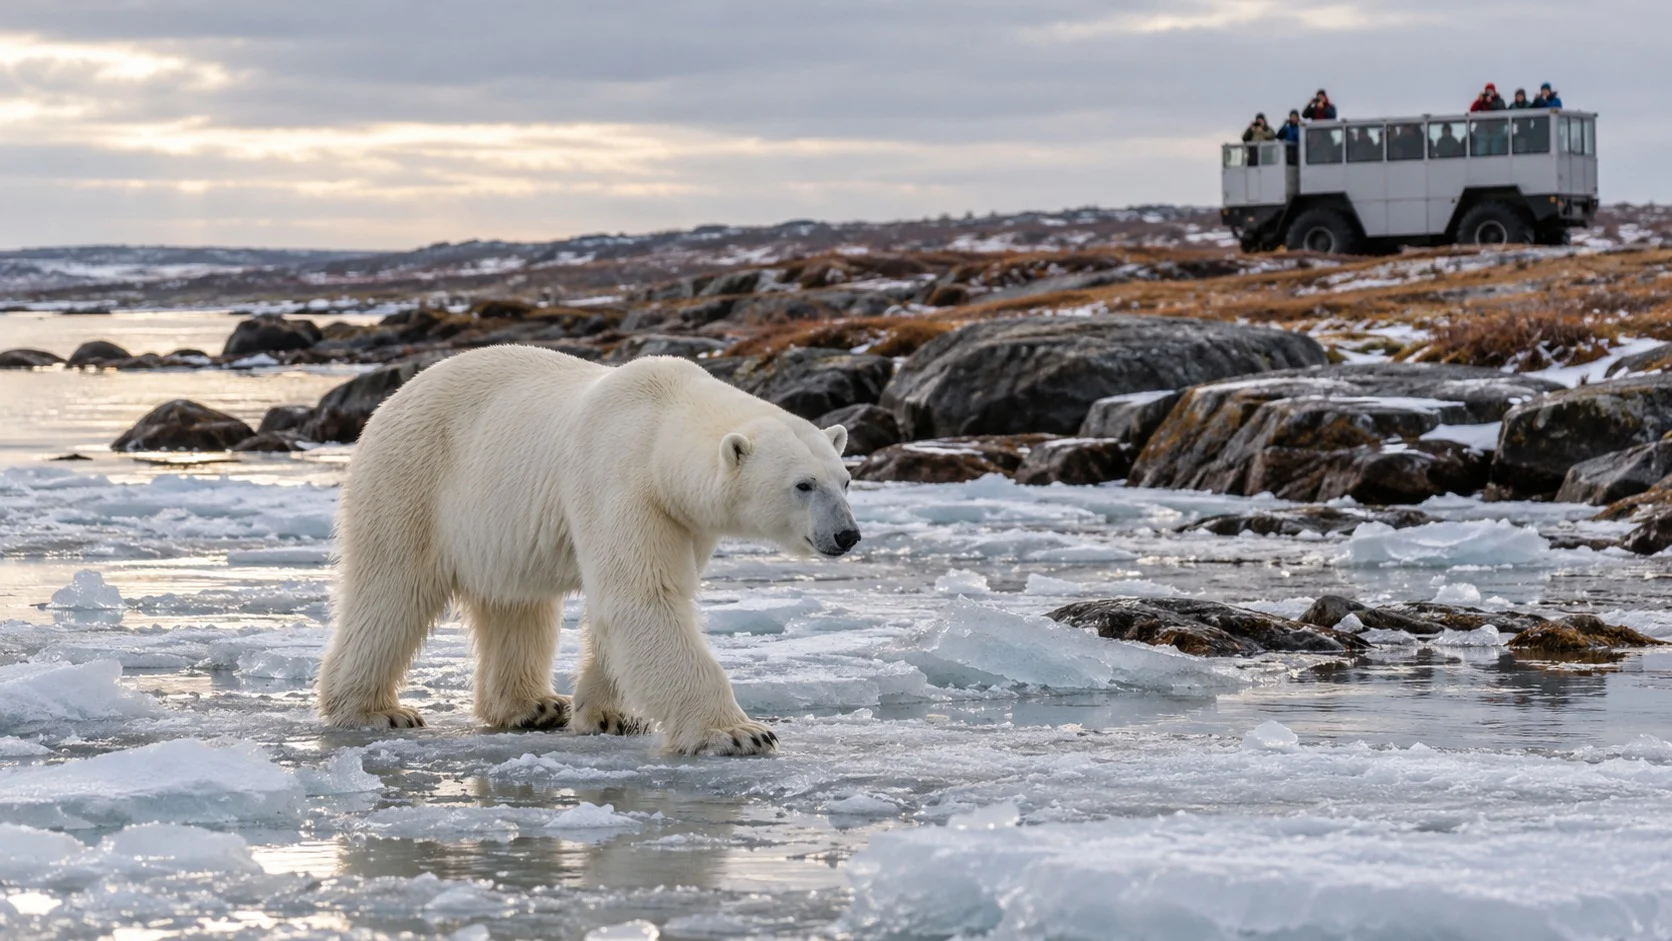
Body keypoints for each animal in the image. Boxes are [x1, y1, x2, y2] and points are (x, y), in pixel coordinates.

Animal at [316, 344, 860, 755]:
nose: (847, 535)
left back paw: (533, 705)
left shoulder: (683, 518)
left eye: (845, 479)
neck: (660, 423)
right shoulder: (619, 477)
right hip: (413, 479)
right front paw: (740, 732)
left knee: (517, 604)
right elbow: (643, 597)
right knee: (391, 590)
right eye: (803, 485)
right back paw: (375, 711)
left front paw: (607, 715)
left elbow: (618, 609)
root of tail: (392, 398)